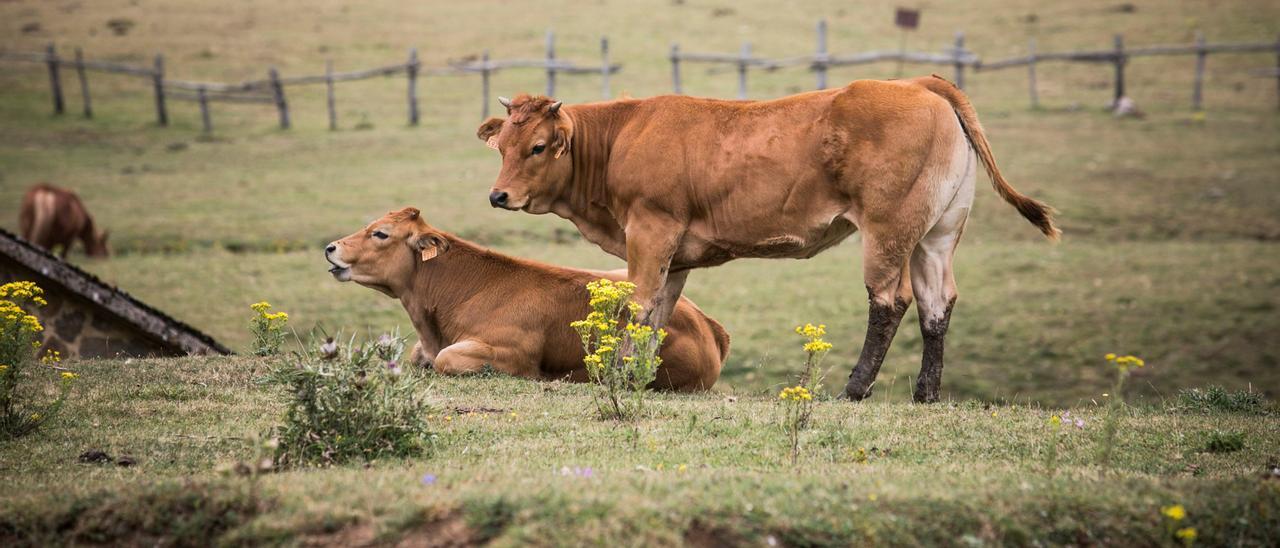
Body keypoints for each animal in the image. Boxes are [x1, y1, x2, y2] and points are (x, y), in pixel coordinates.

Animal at [478, 75, 1059, 402]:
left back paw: (854, 389)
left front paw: (619, 377)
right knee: (937, 303)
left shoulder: (650, 228)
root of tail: (919, 84)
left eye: (537, 146)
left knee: (890, 301)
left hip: (888, 230)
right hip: (937, 233)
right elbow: (660, 311)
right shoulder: (674, 252)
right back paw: (926, 393)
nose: (498, 195)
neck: (621, 137)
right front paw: (641, 374)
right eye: (501, 145)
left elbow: (639, 306)